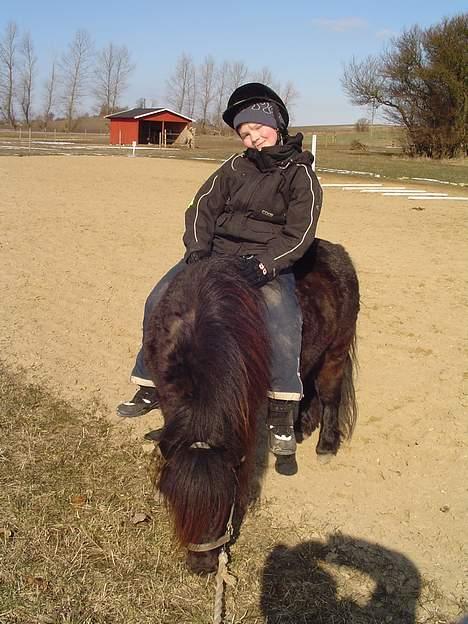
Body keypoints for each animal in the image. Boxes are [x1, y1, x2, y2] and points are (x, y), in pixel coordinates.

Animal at [144, 241, 360, 572]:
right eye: (176, 499)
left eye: (228, 502)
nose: (203, 565)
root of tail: (337, 251)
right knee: (305, 385)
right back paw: (300, 427)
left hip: (335, 352)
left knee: (329, 396)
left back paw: (324, 445)